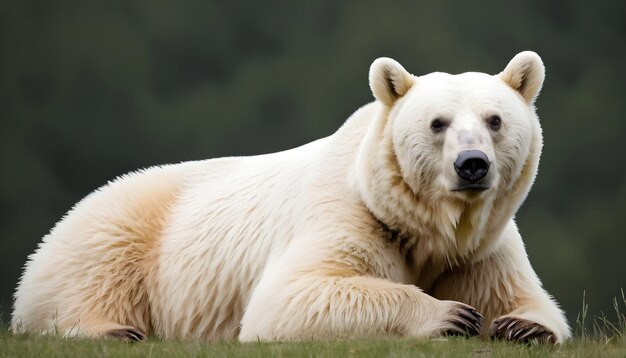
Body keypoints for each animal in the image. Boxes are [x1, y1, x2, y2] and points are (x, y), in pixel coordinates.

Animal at [11, 51, 572, 344]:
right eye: (438, 123)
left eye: (495, 120)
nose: (472, 164)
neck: (425, 228)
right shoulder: (351, 216)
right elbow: (292, 297)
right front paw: (451, 315)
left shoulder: (480, 249)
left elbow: (528, 299)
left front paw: (521, 326)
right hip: (118, 230)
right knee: (91, 278)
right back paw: (111, 330)